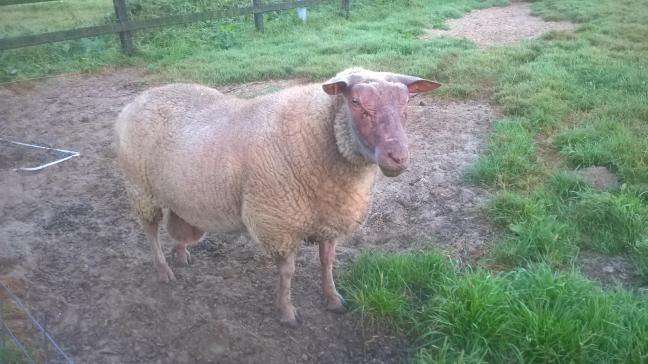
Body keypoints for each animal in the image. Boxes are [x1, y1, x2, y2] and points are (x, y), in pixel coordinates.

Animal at [115, 68, 440, 328]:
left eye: (407, 102)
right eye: (356, 102)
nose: (398, 156)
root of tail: (138, 99)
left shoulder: (328, 218)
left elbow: (327, 262)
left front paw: (333, 298)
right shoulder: (278, 222)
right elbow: (287, 273)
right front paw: (287, 313)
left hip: (181, 192)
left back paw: (181, 254)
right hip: (140, 188)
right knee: (150, 231)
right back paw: (163, 270)